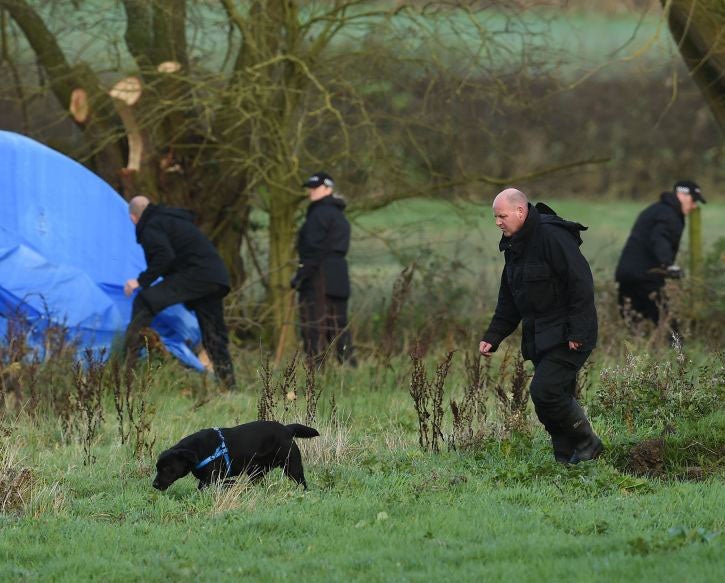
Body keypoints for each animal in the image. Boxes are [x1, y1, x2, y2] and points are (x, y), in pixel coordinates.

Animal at [151, 420, 318, 492]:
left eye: (166, 468)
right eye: (157, 468)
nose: (155, 484)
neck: (196, 451)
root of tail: (287, 429)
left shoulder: (211, 478)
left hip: (292, 466)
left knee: (302, 482)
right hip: (256, 471)